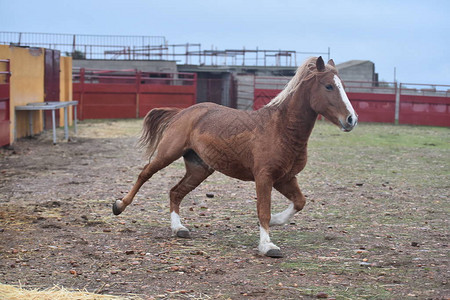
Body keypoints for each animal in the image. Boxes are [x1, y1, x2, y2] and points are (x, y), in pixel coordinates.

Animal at [113, 56, 358, 258]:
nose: (351, 119)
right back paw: (119, 205)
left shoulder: (285, 178)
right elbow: (263, 211)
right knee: (145, 174)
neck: (281, 129)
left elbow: (299, 202)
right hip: (167, 153)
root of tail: (183, 112)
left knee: (175, 192)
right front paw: (268, 246)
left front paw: (277, 221)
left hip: (199, 168)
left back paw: (179, 228)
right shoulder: (264, 177)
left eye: (343, 86)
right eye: (328, 86)